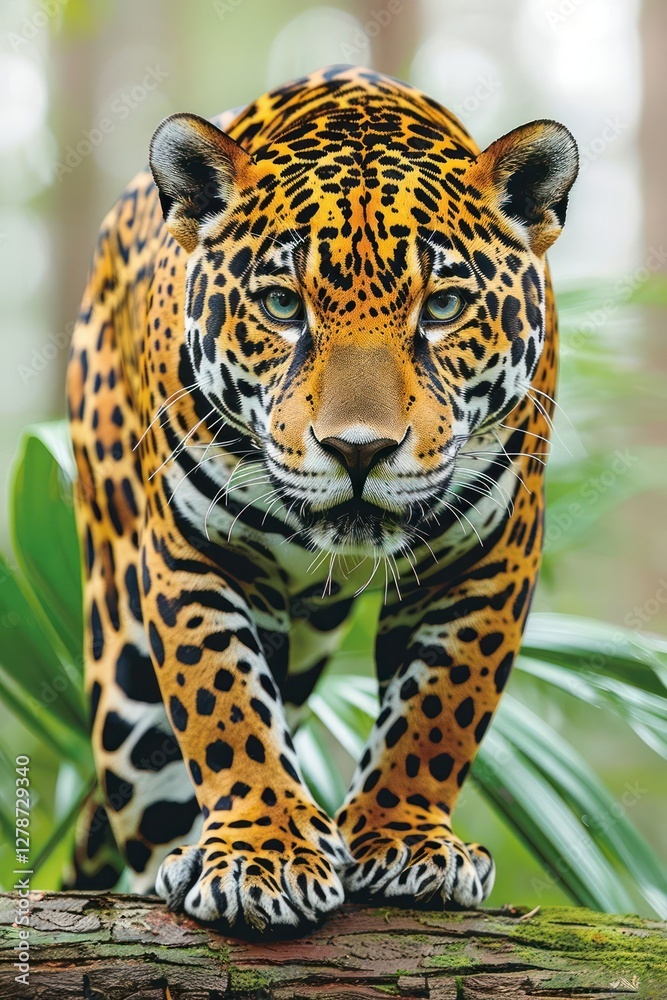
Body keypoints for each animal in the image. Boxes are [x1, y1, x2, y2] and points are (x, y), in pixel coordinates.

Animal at [66, 65, 578, 933]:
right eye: (281, 306)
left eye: (442, 309)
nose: (359, 449)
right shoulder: (195, 554)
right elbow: (225, 703)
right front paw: (260, 851)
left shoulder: (491, 554)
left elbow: (439, 708)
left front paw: (404, 839)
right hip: (127, 687)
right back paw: (184, 861)